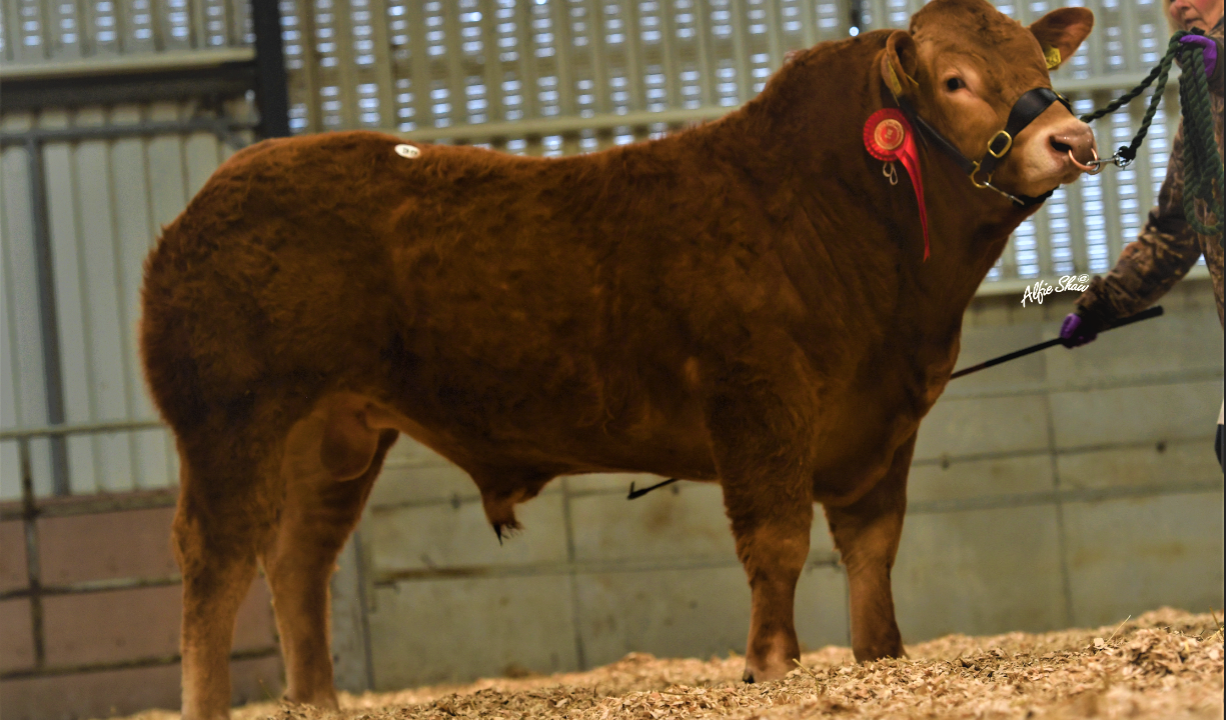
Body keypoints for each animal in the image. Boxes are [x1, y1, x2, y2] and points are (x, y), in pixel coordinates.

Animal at [140, 1, 1095, 717]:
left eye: (1037, 63)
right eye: (955, 80)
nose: (1073, 139)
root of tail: (210, 195)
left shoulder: (885, 420)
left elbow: (873, 545)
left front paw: (881, 656)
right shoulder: (758, 400)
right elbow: (777, 539)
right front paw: (771, 666)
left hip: (333, 433)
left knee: (299, 557)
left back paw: (315, 701)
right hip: (230, 420)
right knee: (215, 561)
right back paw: (211, 702)